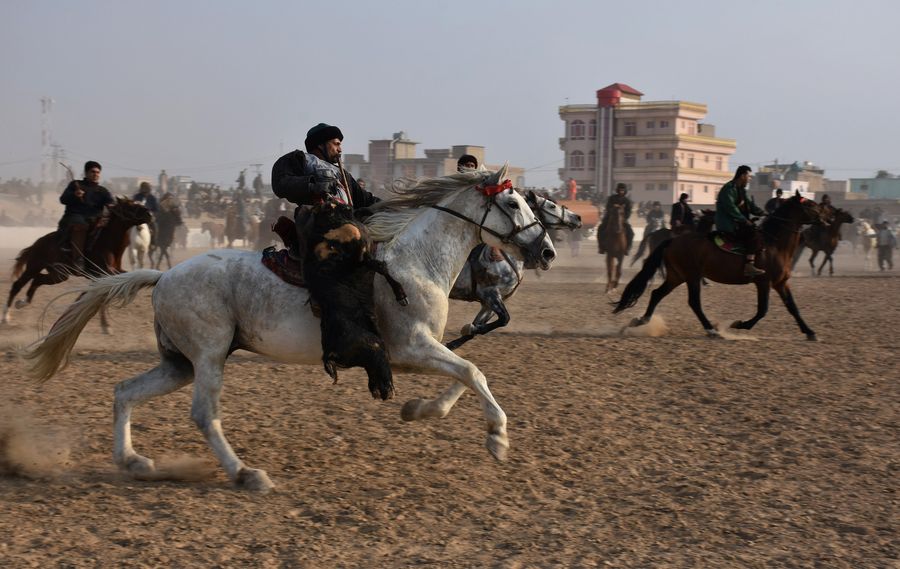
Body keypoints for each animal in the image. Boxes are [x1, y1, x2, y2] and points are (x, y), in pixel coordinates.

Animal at [2, 197, 152, 330]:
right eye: (130, 205)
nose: (149, 214)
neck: (107, 244)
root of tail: (37, 243)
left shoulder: (112, 273)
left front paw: (105, 324)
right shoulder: (103, 274)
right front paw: (105, 325)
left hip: (58, 275)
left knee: (37, 280)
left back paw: (22, 303)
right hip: (34, 266)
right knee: (17, 285)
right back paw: (6, 317)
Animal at [22, 166, 556, 492]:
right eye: (513, 203)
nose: (547, 251)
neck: (413, 262)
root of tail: (164, 276)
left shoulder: (412, 353)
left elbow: (464, 374)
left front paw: (421, 410)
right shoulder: (410, 348)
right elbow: (472, 372)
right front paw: (498, 438)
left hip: (179, 363)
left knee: (124, 391)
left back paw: (133, 462)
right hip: (209, 356)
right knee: (203, 415)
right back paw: (245, 474)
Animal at [445, 191, 581, 350]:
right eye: (552, 206)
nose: (577, 218)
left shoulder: (490, 303)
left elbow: (479, 327)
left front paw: (455, 341)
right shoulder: (490, 293)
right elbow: (505, 319)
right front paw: (468, 329)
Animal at [613, 193, 824, 340]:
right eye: (811, 205)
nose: (824, 219)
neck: (774, 244)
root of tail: (672, 240)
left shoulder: (781, 283)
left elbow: (793, 308)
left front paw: (810, 332)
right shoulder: (763, 282)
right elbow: (762, 310)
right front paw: (739, 324)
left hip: (677, 276)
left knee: (657, 294)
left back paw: (640, 321)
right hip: (691, 276)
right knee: (694, 302)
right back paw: (711, 330)